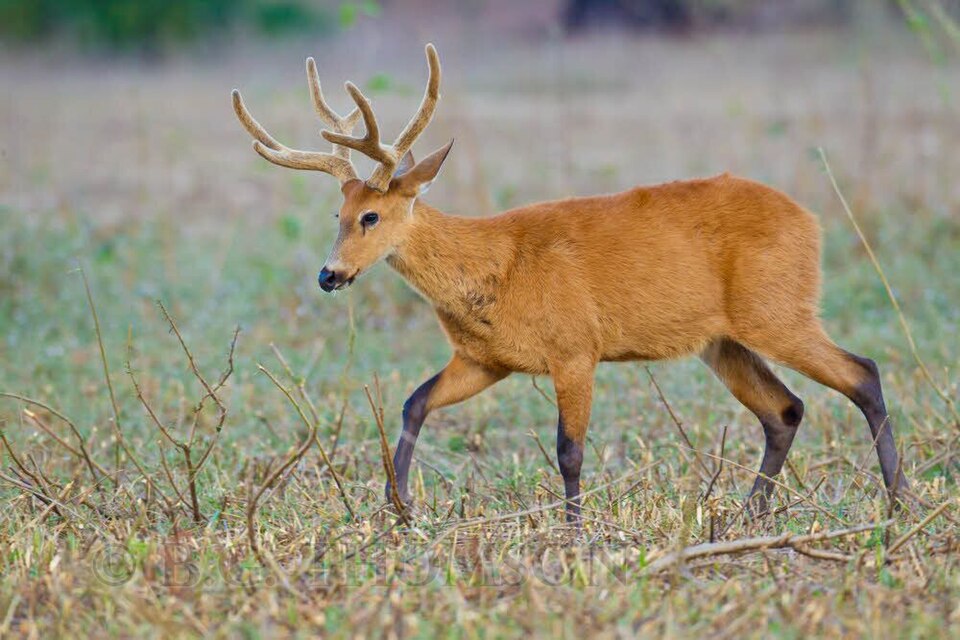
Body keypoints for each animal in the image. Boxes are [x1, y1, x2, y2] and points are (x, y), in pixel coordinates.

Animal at [231, 44, 909, 521]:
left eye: (371, 216)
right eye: (337, 215)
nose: (329, 275)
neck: (493, 267)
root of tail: (812, 222)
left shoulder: (576, 348)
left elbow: (569, 450)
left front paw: (575, 533)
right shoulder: (485, 359)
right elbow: (414, 401)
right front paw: (400, 509)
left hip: (777, 308)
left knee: (862, 372)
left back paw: (900, 502)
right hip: (722, 340)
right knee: (786, 409)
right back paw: (752, 514)